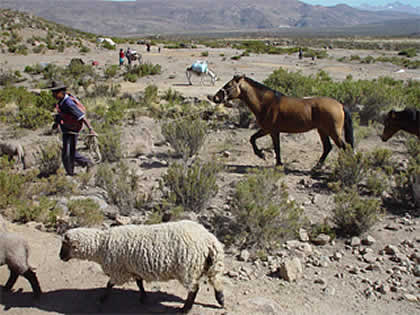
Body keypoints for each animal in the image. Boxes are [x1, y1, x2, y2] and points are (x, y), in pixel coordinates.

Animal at [59, 220, 225, 314]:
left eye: (65, 244)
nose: (60, 257)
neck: (100, 245)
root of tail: (209, 239)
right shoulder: (132, 268)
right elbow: (139, 283)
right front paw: (144, 297)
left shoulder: (119, 270)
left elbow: (109, 284)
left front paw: (103, 298)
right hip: (207, 264)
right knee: (215, 279)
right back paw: (220, 300)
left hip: (188, 268)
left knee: (194, 289)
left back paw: (185, 309)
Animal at [212, 74, 352, 168]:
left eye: (229, 85)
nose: (215, 98)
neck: (266, 103)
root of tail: (340, 105)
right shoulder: (267, 130)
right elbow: (253, 139)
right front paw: (262, 155)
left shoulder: (272, 131)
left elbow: (276, 147)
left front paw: (273, 161)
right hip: (322, 130)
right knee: (328, 147)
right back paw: (316, 167)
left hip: (333, 132)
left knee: (345, 147)